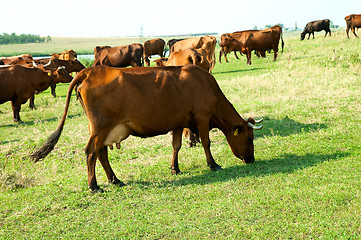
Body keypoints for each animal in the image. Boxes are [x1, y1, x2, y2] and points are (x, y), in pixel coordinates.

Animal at [31, 64, 262, 192]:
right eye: (249, 139)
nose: (251, 160)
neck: (206, 84)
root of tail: (90, 71)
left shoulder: (178, 122)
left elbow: (176, 146)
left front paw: (175, 168)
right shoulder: (202, 117)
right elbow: (206, 141)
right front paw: (213, 164)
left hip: (100, 130)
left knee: (101, 153)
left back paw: (115, 180)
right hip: (100, 128)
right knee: (90, 152)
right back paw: (94, 186)